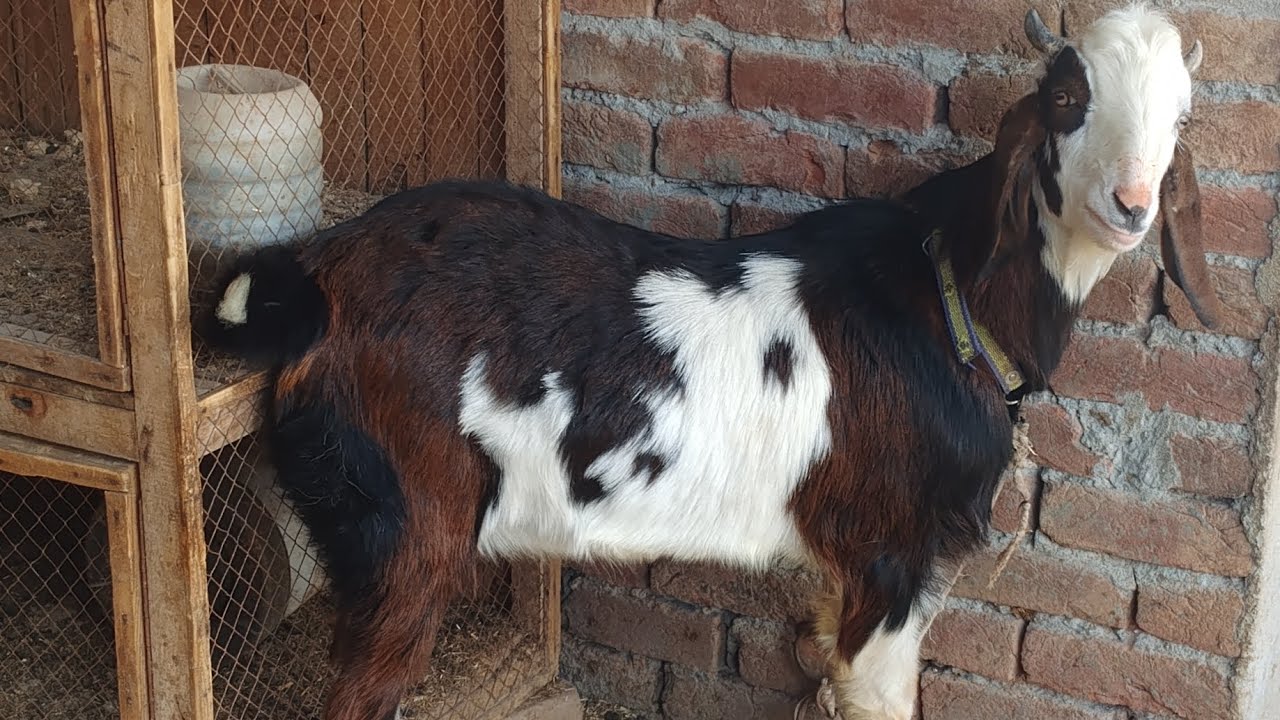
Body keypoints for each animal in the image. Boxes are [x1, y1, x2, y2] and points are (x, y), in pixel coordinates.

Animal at [200, 4, 1222, 719]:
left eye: (1181, 116)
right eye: (1067, 100)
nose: (1132, 204)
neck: (949, 301)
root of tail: (316, 282)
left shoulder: (844, 572)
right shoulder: (892, 558)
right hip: (404, 527)